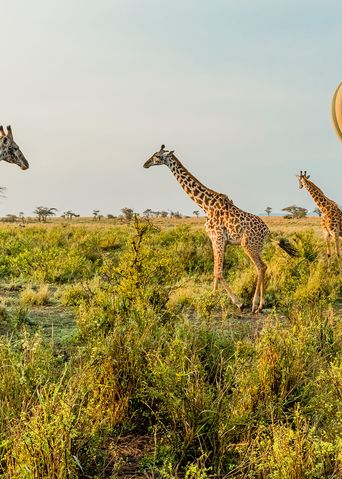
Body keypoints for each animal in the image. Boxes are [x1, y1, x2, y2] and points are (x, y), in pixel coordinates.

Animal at [143, 144, 298, 314]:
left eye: (157, 156)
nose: (145, 164)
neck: (205, 205)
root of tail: (267, 232)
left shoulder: (217, 237)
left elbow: (218, 271)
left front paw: (238, 303)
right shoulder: (218, 240)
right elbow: (215, 271)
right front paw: (212, 297)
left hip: (248, 245)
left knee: (261, 267)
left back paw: (255, 305)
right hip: (258, 247)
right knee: (263, 267)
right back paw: (261, 305)